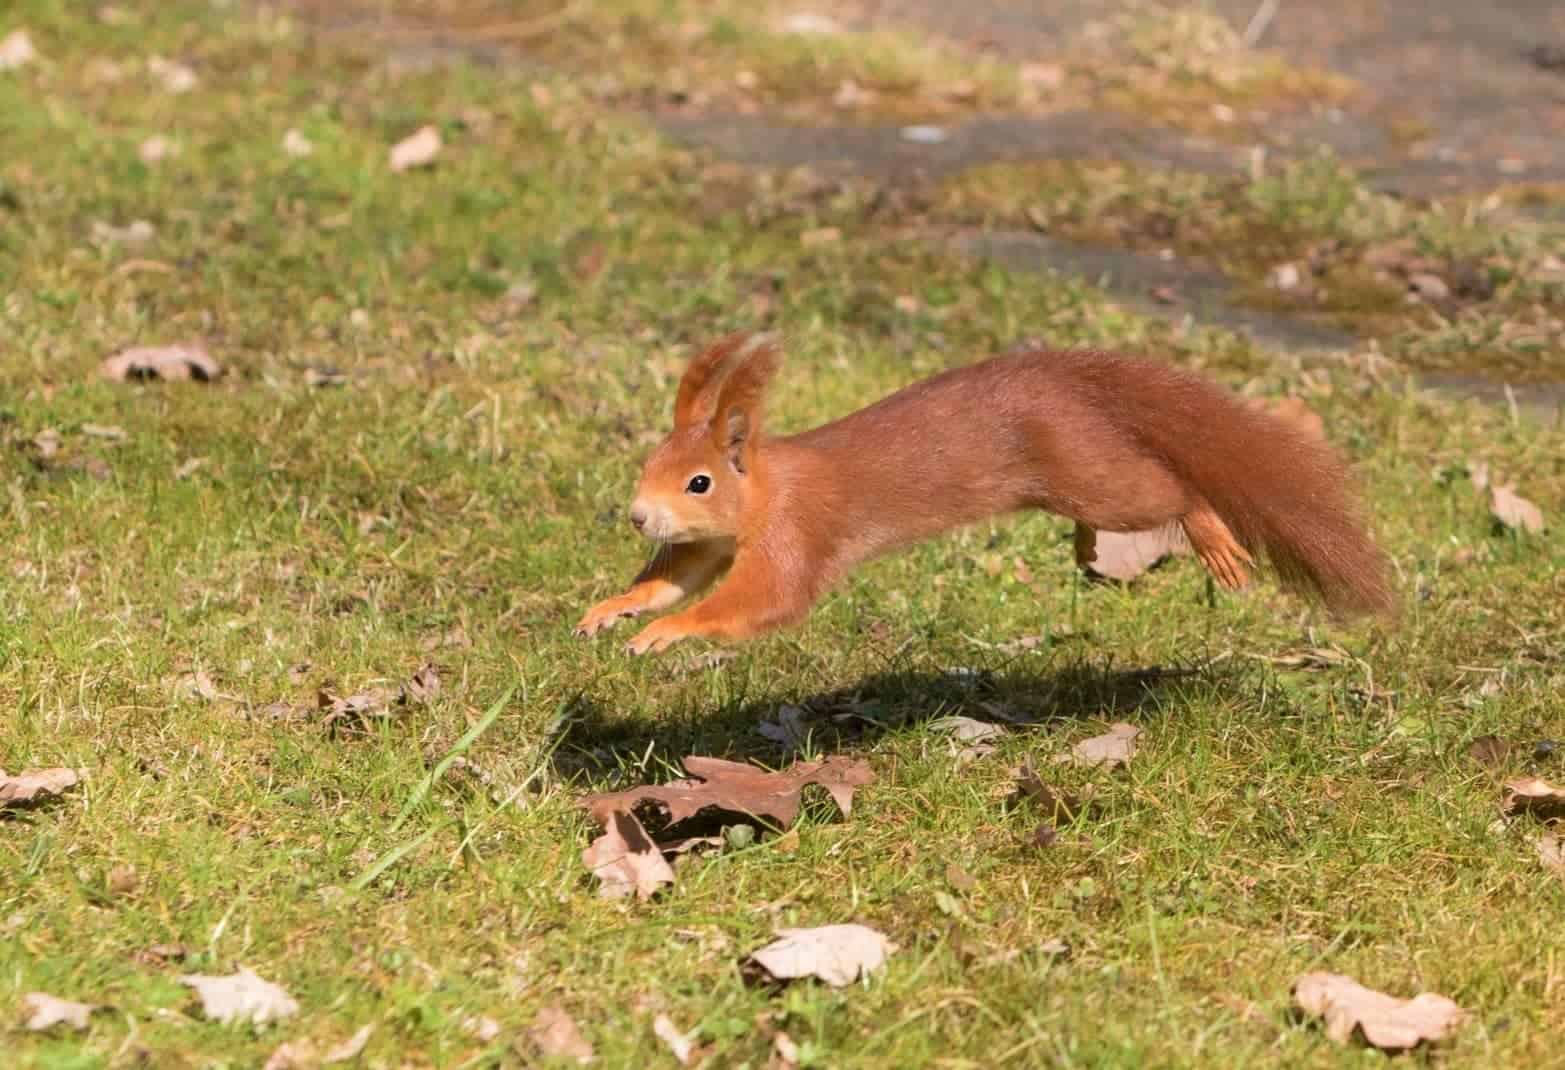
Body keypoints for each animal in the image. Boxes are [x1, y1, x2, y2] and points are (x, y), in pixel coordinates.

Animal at [575, 330, 1395, 657]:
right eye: (650, 463)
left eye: (700, 480)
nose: (638, 516)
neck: (767, 487)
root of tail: (1063, 384)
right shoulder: (710, 542)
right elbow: (675, 577)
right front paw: (617, 609)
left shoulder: (793, 533)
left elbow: (761, 600)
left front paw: (668, 633)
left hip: (1091, 473)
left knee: (1170, 491)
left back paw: (1209, 533)